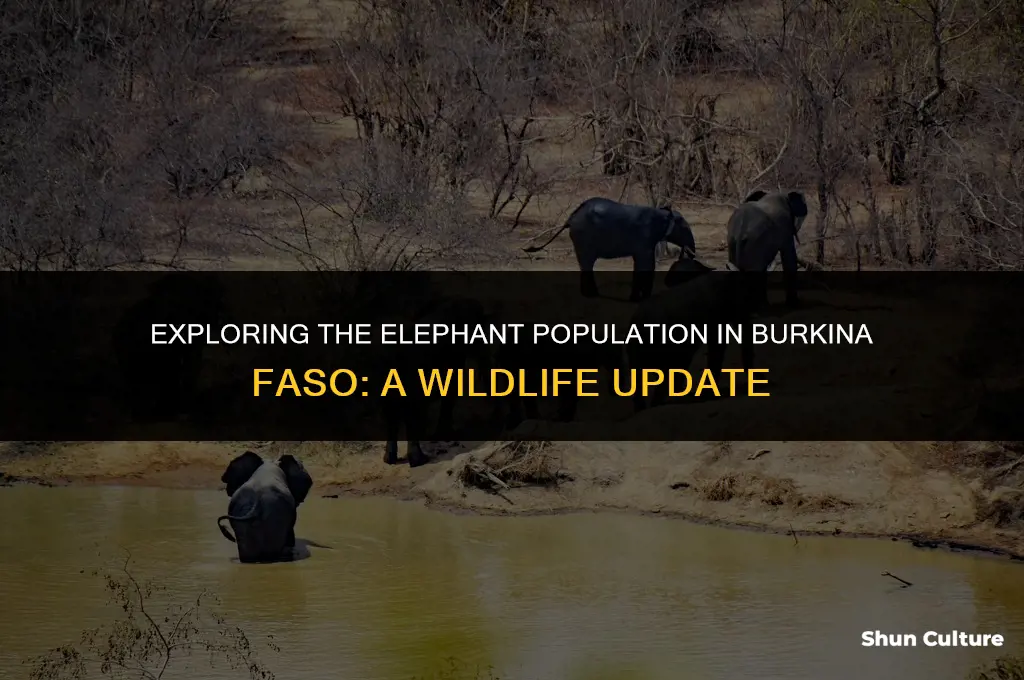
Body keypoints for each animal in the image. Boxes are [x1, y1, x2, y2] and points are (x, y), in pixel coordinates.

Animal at [523, 197, 698, 301]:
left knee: (585, 265)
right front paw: (641, 299)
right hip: (584, 237)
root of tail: (570, 218)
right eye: (685, 228)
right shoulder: (645, 239)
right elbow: (646, 264)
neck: (664, 214)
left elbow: (640, 264)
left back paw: (588, 294)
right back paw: (592, 295)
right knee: (587, 263)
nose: (691, 254)